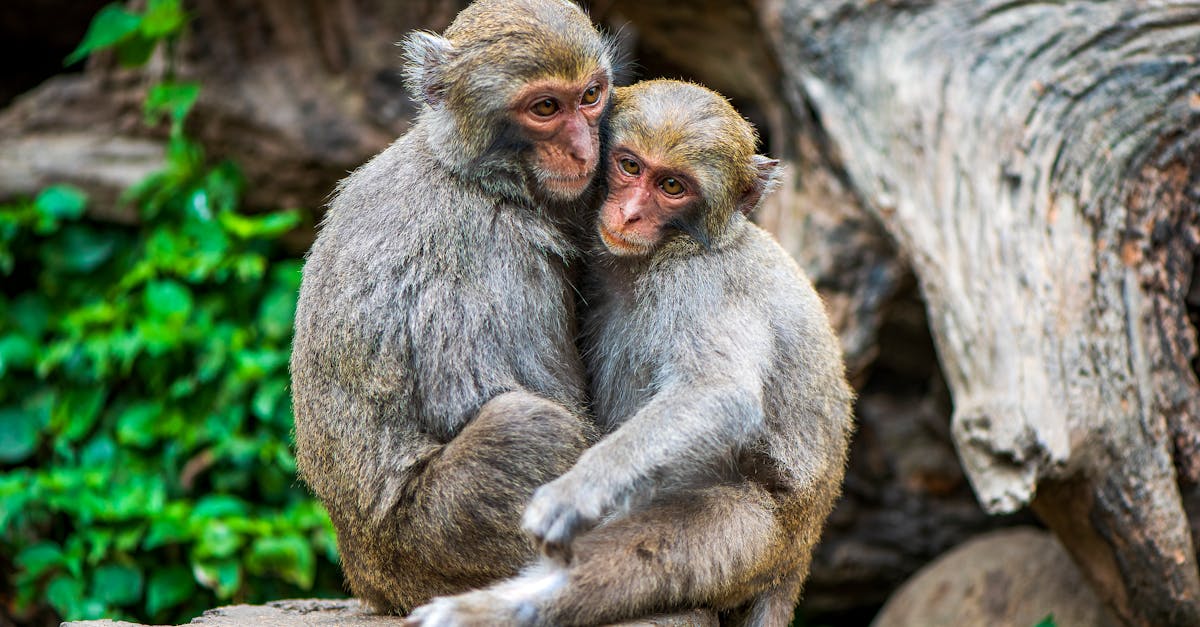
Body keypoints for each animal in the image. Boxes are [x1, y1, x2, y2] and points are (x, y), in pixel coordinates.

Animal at [289, 0, 616, 614]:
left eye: (590, 95)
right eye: (545, 107)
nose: (584, 150)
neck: (478, 178)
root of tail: (372, 577)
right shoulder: (498, 256)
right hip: (440, 540)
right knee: (529, 425)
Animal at [404, 79, 855, 627]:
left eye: (673, 187)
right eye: (630, 166)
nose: (631, 213)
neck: (670, 250)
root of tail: (802, 546)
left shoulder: (701, 284)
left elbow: (717, 394)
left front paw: (576, 493)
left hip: (757, 533)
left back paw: (491, 609)